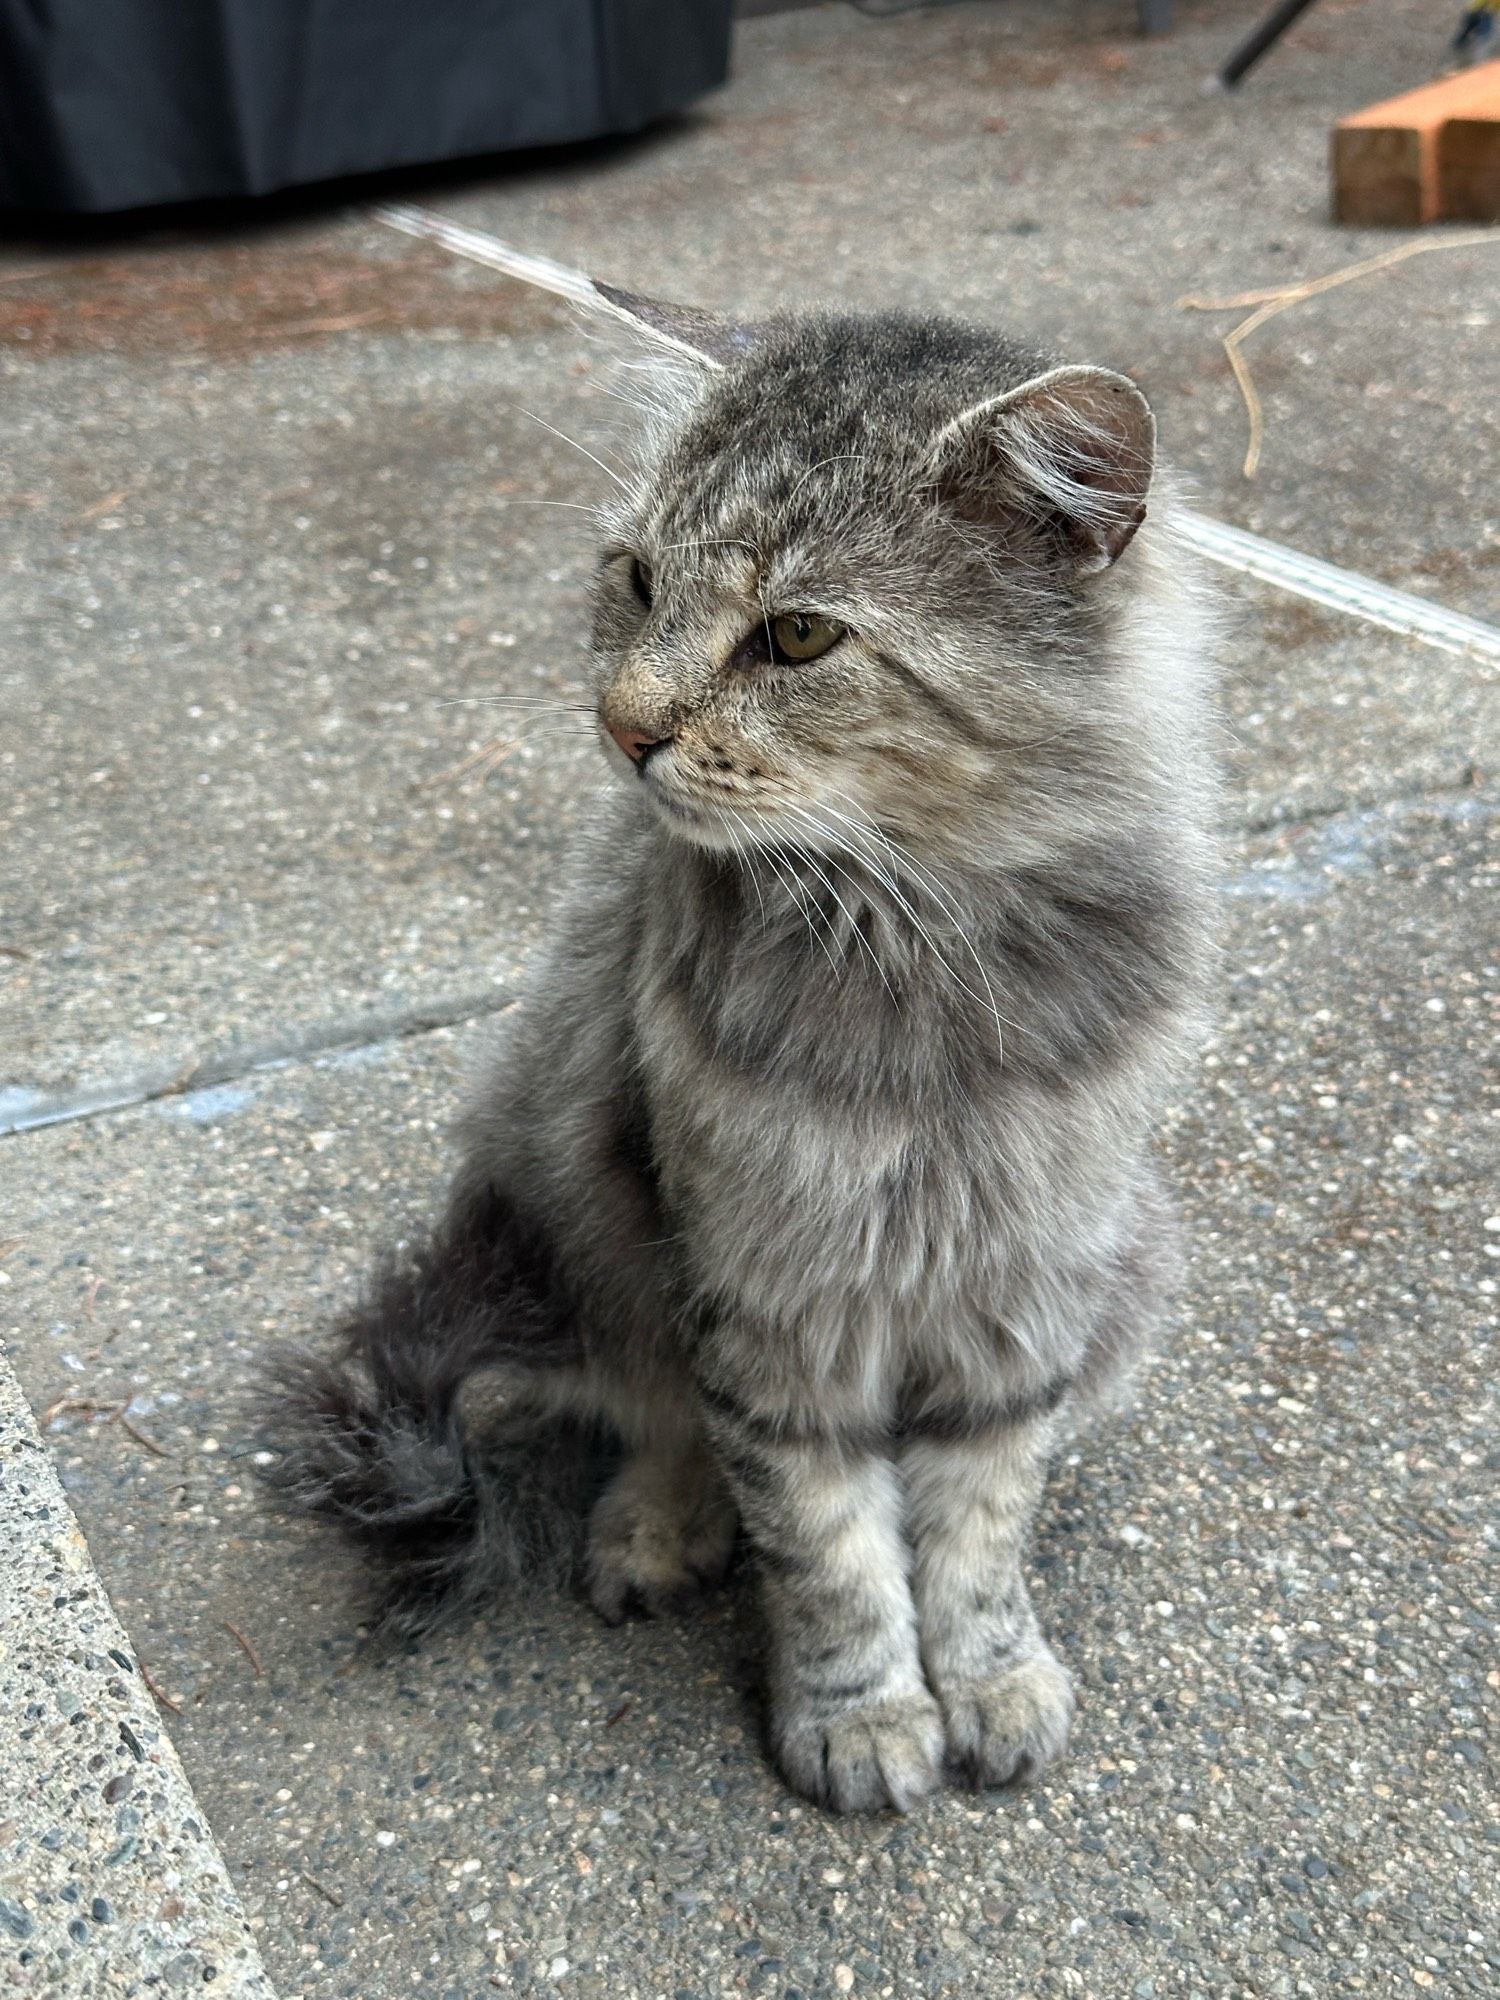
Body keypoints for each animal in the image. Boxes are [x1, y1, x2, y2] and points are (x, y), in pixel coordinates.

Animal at [262, 292, 1224, 1816]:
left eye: (799, 635)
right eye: (638, 579)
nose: (627, 727)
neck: (916, 954)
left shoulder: (1024, 1288)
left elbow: (979, 1528)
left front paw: (992, 1675)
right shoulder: (773, 1299)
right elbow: (826, 1547)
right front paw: (860, 1713)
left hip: (1133, 1260)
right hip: (580, 1210)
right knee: (661, 1411)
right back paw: (659, 1527)